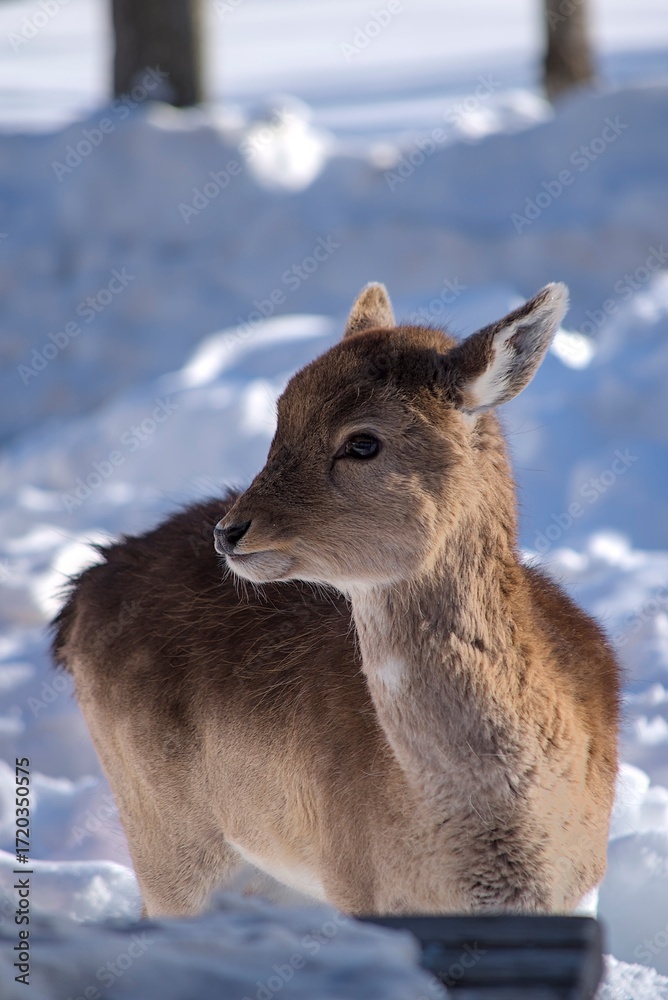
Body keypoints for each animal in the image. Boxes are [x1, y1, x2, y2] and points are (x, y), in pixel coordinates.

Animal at [53, 282, 620, 919]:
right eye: (278, 419)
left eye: (363, 441)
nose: (230, 531)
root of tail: (82, 588)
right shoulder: (358, 883)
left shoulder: (583, 886)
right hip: (163, 835)